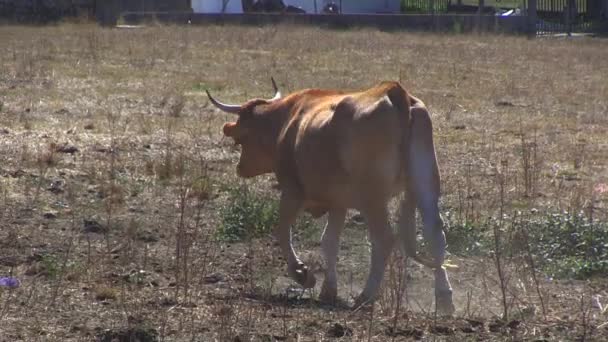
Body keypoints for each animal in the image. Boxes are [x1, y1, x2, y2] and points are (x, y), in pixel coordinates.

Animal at [209, 79, 456, 314]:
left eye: (240, 140)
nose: (240, 168)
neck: (289, 120)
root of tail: (394, 92)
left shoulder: (292, 191)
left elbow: (282, 231)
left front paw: (302, 274)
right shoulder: (338, 202)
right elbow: (329, 241)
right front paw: (328, 290)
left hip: (372, 199)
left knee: (384, 239)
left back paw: (366, 296)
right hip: (425, 186)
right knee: (435, 236)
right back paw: (444, 298)